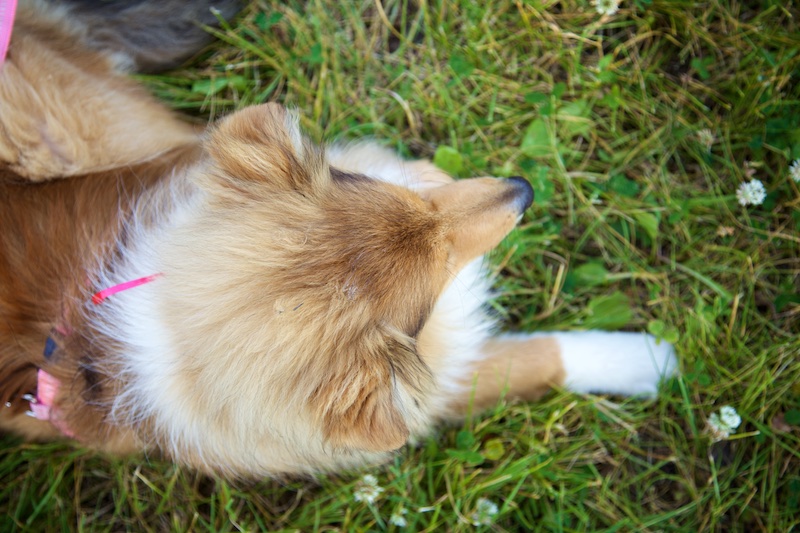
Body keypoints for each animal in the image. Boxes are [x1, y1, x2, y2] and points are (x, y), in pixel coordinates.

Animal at [0, 0, 676, 474]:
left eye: (401, 200)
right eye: (427, 294)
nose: (524, 189)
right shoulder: (423, 390)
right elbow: (535, 360)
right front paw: (652, 359)